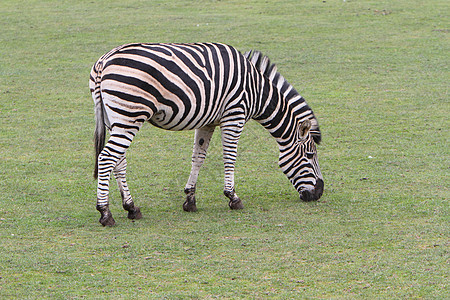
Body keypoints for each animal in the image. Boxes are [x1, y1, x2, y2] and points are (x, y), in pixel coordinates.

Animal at [89, 41, 324, 225]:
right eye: (310, 156)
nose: (319, 193)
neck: (257, 92)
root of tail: (103, 61)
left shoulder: (208, 121)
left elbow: (198, 158)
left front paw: (190, 199)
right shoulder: (234, 116)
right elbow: (230, 157)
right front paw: (233, 197)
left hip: (115, 119)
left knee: (119, 161)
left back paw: (131, 207)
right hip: (130, 115)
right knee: (107, 158)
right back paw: (105, 213)